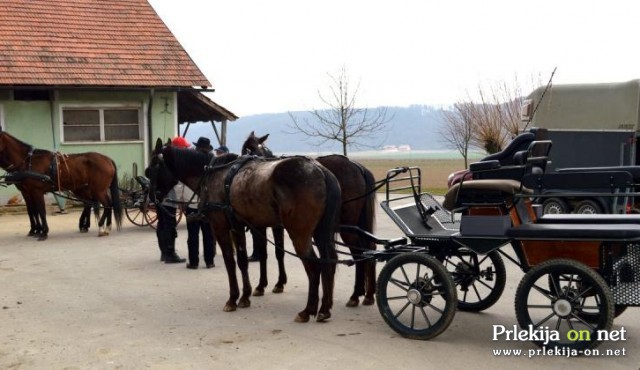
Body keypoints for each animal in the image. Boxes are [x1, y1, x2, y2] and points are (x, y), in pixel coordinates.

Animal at [147, 137, 342, 322]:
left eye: (151, 169)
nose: (151, 198)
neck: (214, 175)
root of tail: (321, 171)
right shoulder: (238, 227)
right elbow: (242, 261)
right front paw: (245, 296)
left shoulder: (221, 227)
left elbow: (230, 261)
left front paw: (232, 299)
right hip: (320, 233)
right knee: (329, 262)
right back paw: (324, 309)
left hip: (299, 234)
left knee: (314, 267)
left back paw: (308, 310)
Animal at [242, 132, 378, 304]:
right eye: (255, 150)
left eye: (262, 150)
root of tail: (358, 166)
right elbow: (277, 252)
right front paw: (277, 283)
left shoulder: (264, 226)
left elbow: (268, 253)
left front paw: (263, 285)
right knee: (368, 249)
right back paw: (367, 294)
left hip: (348, 227)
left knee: (359, 252)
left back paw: (356, 295)